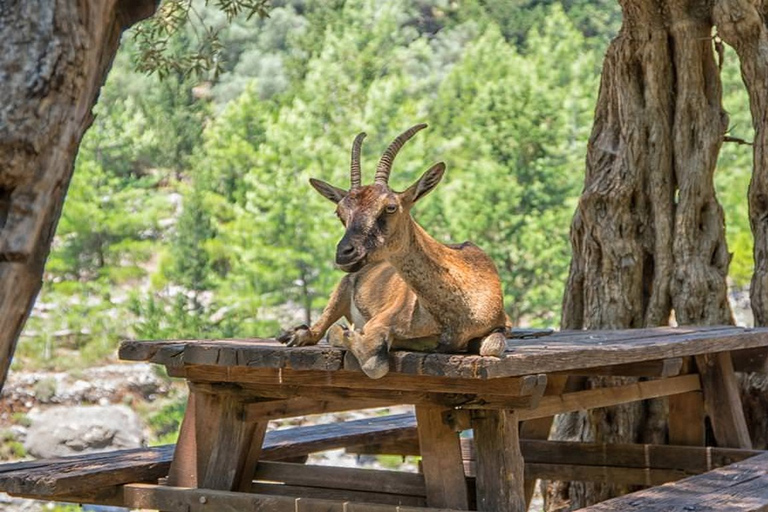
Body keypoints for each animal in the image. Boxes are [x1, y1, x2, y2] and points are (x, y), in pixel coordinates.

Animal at [280, 124, 508, 378]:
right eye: (340, 212)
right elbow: (374, 362)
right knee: (319, 329)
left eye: (390, 207)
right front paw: (344, 333)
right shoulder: (380, 322)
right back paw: (297, 334)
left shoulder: (501, 324)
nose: (345, 253)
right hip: (342, 289)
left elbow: (493, 346)